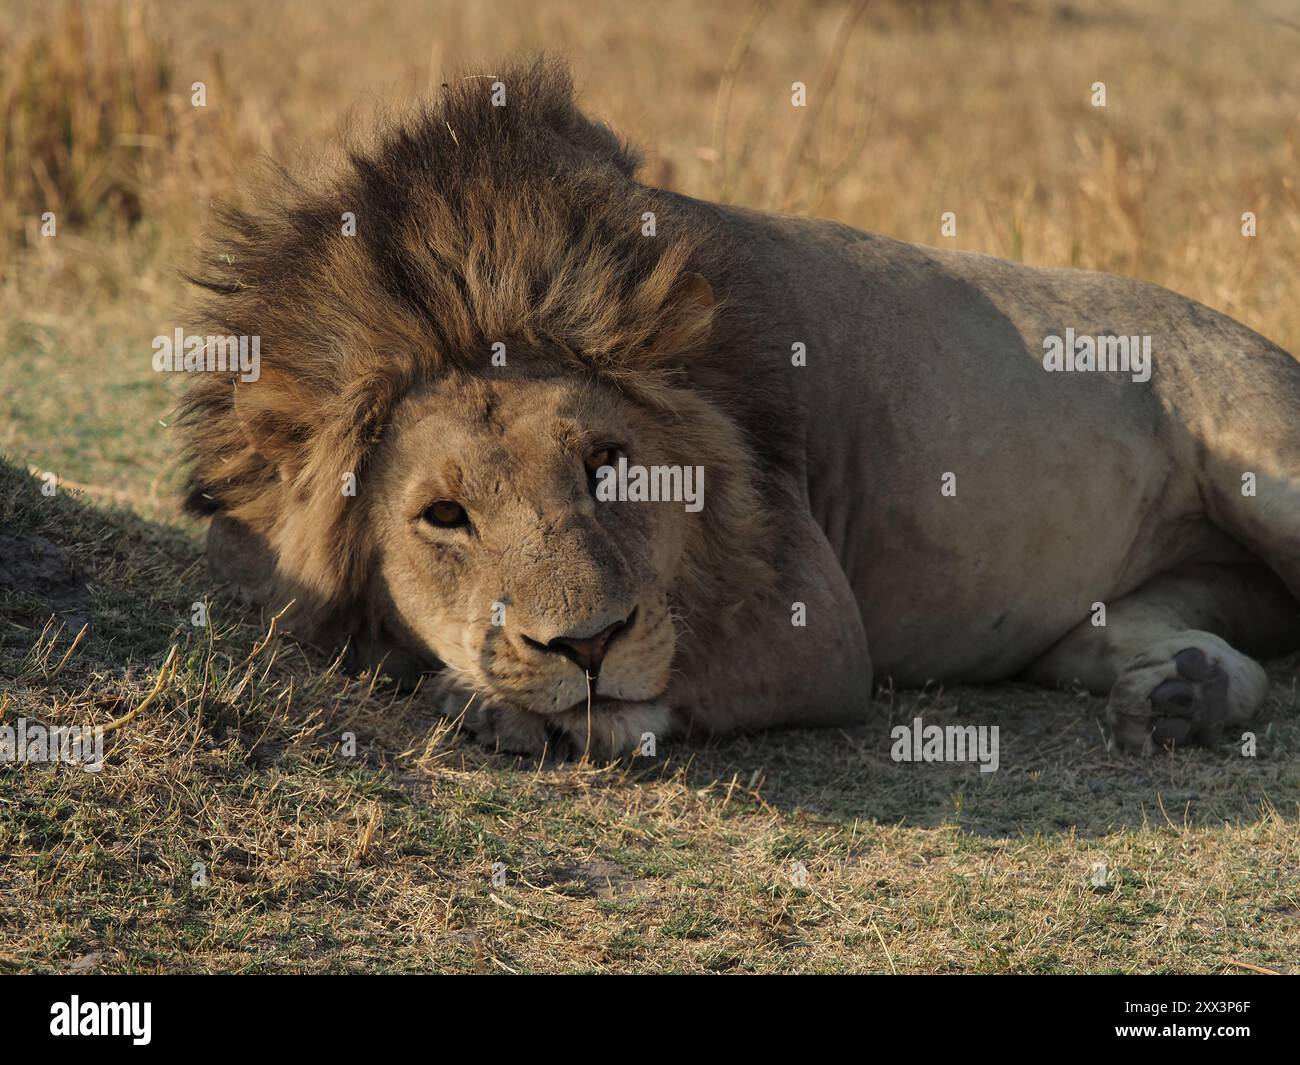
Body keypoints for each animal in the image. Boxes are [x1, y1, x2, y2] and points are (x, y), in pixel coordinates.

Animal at [180, 58, 1300, 764]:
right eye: (443, 516)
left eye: (609, 466)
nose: (587, 644)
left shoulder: (821, 629)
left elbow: (673, 677)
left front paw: (513, 708)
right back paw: (1182, 696)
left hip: (1265, 462)